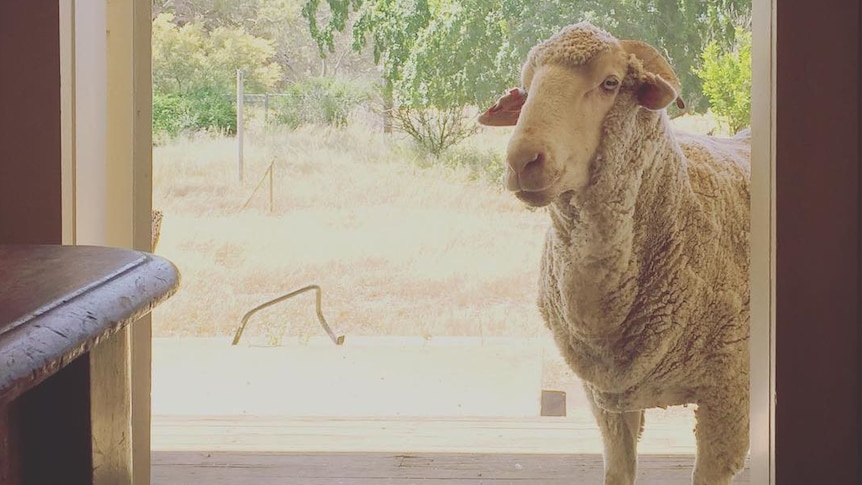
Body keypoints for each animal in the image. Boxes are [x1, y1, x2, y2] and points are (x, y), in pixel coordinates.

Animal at [476, 20, 752, 482]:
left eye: (611, 82)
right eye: (526, 89)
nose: (522, 160)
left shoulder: (727, 397)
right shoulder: (607, 400)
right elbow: (618, 472)